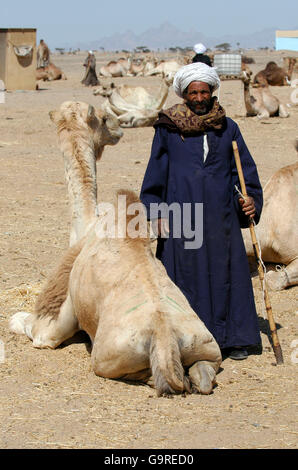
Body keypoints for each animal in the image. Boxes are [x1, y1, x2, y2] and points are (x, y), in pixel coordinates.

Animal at [9, 99, 221, 396]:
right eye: (103, 118)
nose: (119, 128)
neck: (88, 224)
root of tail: (165, 338)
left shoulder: (52, 326)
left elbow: (23, 323)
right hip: (205, 344)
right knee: (203, 372)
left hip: (107, 357)